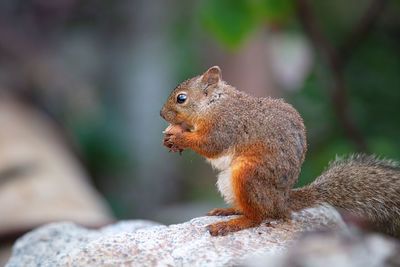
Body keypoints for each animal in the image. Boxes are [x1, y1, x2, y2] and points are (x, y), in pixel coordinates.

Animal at [159, 66, 400, 237]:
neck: (214, 103)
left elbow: (212, 145)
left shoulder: (226, 125)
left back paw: (232, 224)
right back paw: (227, 211)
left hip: (247, 176)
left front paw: (179, 137)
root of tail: (283, 203)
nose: (161, 114)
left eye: (181, 98)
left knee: (258, 217)